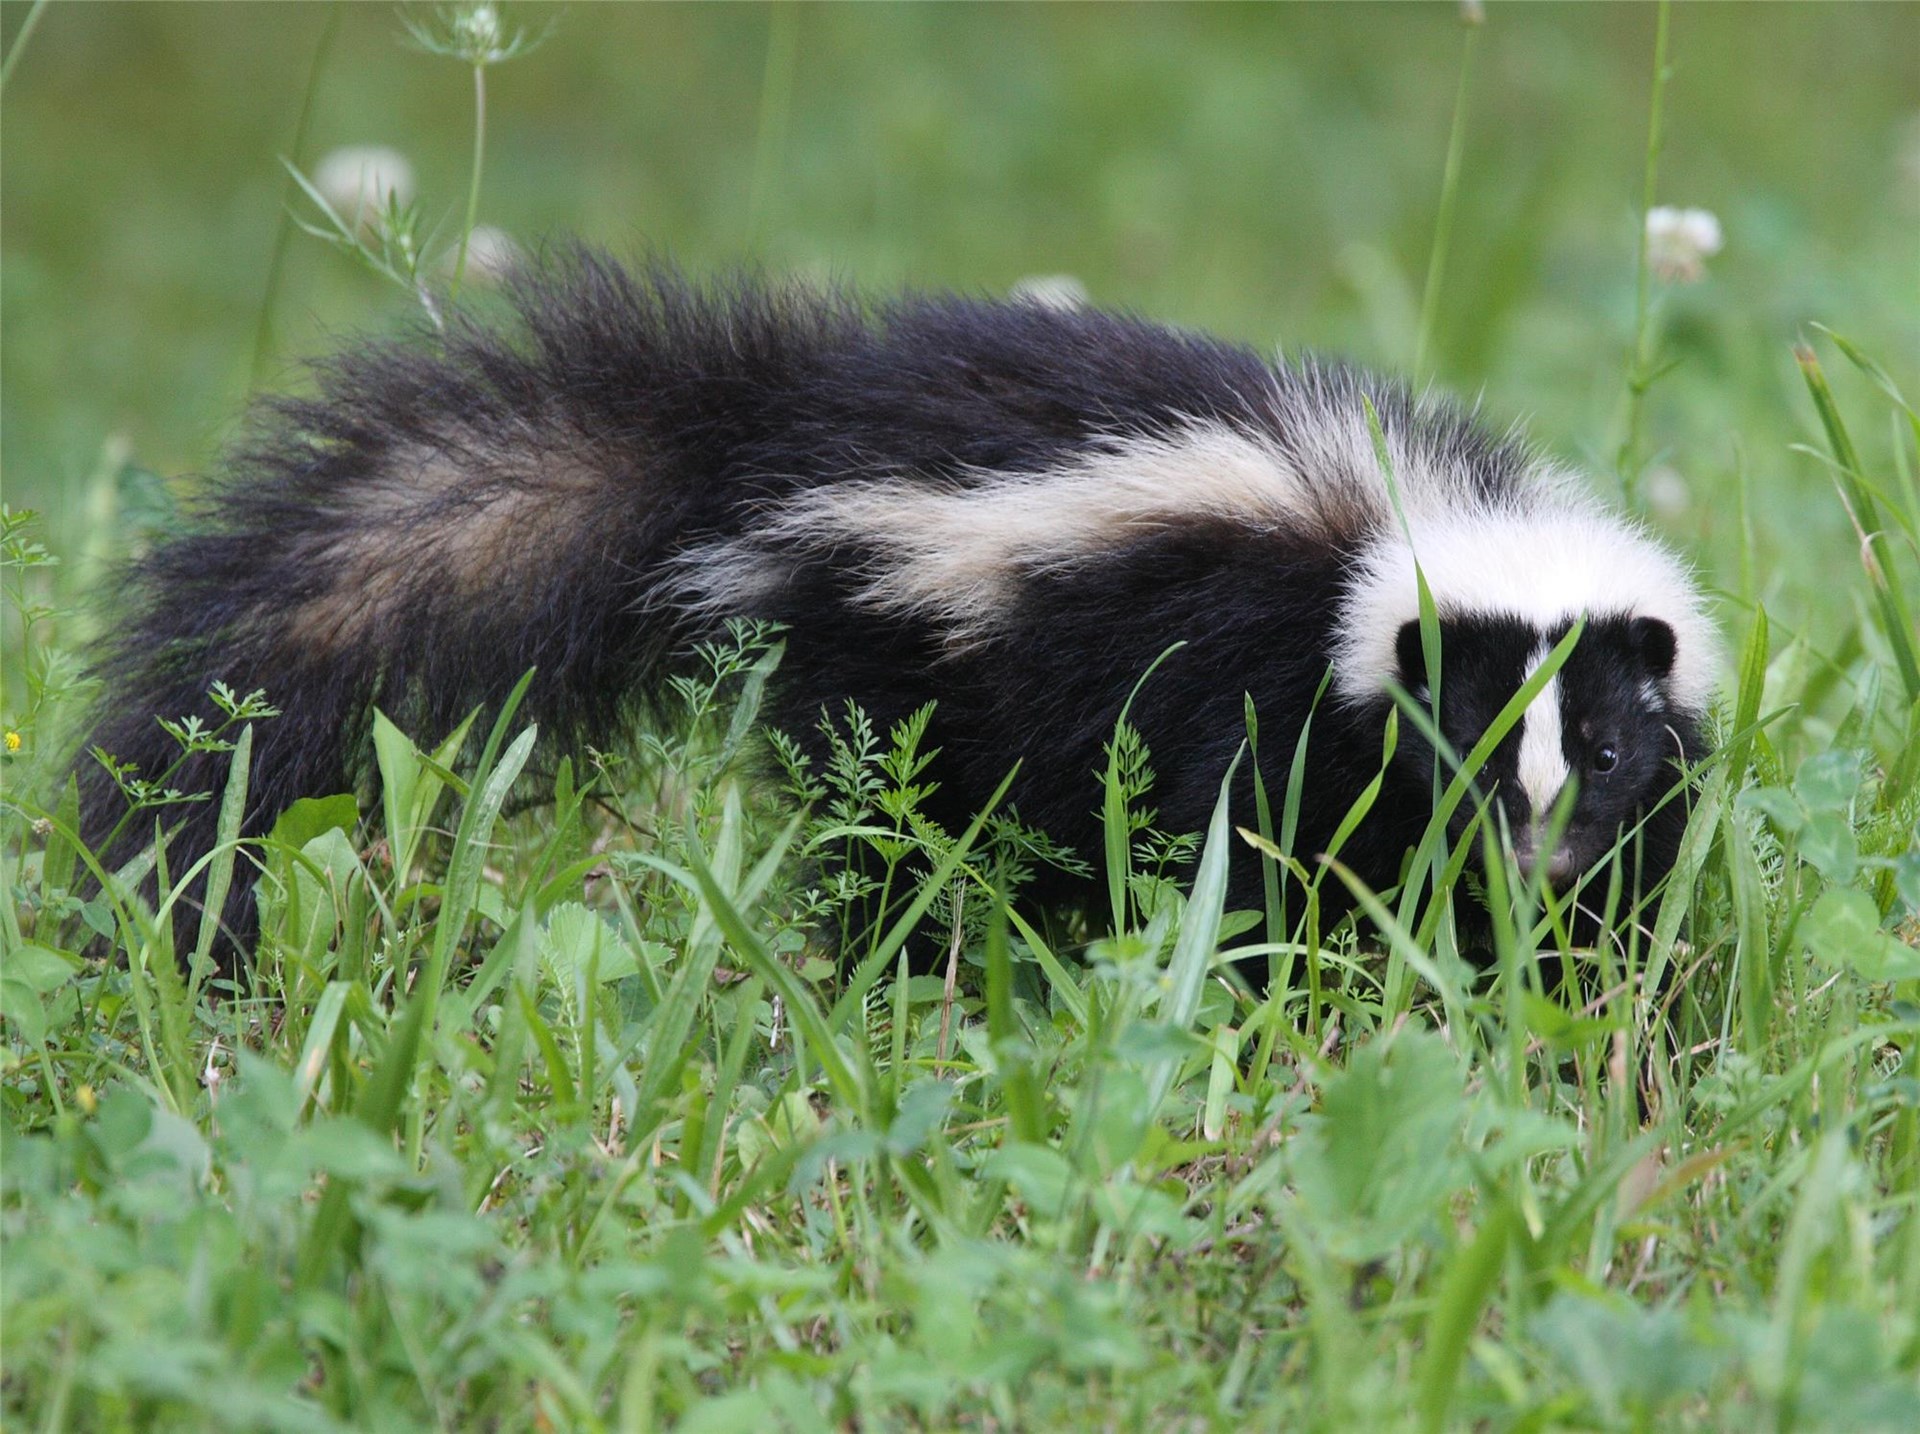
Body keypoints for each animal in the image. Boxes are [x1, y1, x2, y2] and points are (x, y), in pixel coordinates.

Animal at [78, 251, 1728, 959]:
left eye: (1603, 749)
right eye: (1470, 744)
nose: (1541, 854)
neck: (1408, 523)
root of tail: (762, 440)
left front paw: (1577, 988)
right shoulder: (1248, 671)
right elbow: (1253, 847)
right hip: (902, 656)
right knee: (902, 837)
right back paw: (916, 958)